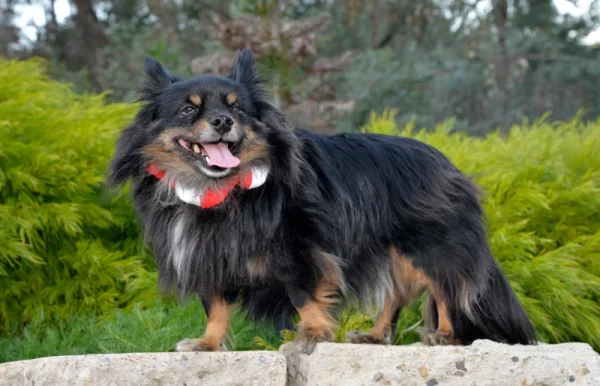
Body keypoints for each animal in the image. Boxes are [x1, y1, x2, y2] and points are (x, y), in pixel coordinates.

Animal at [110, 47, 536, 352]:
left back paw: (444, 335)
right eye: (188, 109)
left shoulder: (300, 247)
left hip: (428, 246)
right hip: (391, 251)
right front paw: (208, 343)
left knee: (445, 289)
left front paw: (312, 333)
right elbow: (216, 305)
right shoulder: (210, 256)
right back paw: (376, 336)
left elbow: (304, 292)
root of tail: (448, 163)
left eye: (237, 109)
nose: (222, 121)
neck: (218, 189)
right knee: (397, 293)